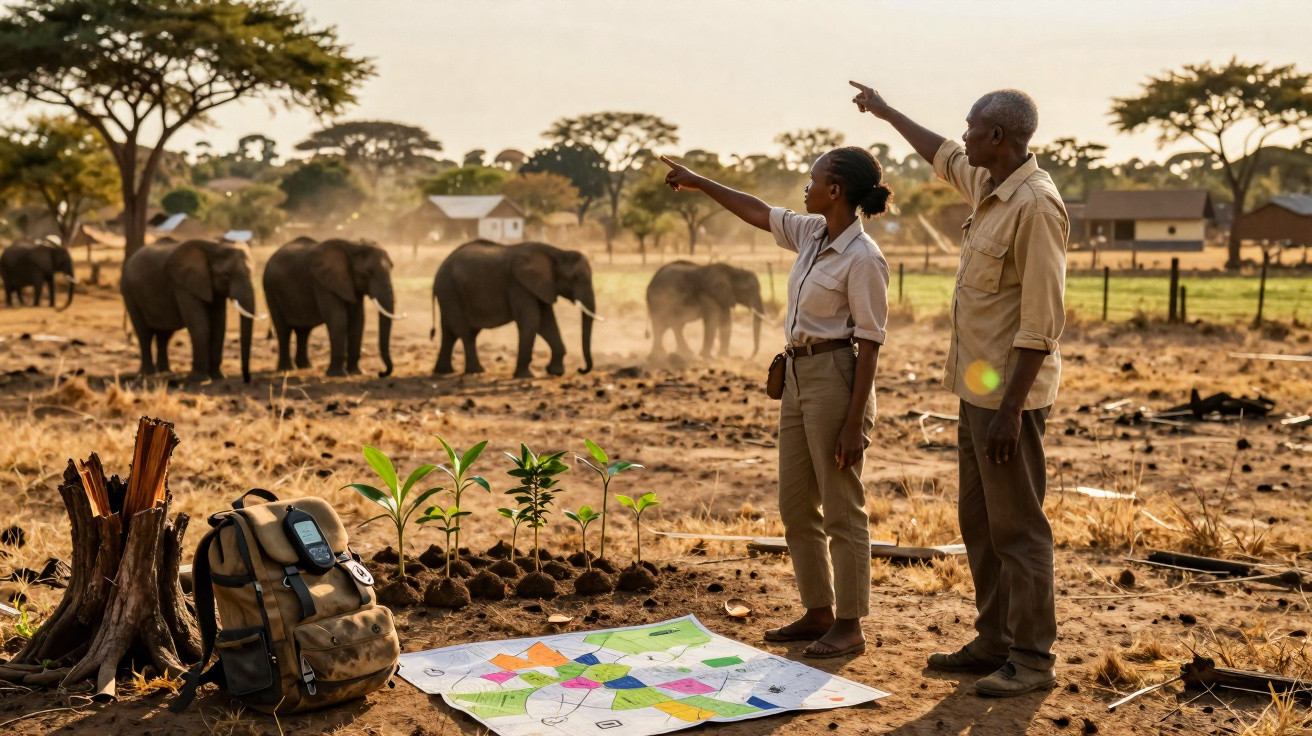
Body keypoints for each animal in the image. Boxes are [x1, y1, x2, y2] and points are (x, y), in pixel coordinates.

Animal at [120, 238, 257, 382]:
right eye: (226, 275)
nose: (247, 378)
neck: (214, 246)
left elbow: (219, 326)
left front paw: (218, 377)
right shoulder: (183, 285)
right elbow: (200, 325)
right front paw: (199, 379)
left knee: (164, 335)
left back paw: (165, 371)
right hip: (128, 291)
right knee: (144, 333)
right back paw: (148, 374)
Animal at [262, 237, 397, 377]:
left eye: (392, 268)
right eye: (367, 273)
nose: (381, 373)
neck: (353, 246)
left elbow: (358, 320)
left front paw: (355, 373)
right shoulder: (322, 283)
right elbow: (338, 319)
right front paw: (338, 375)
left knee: (303, 331)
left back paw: (305, 366)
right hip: (271, 290)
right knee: (283, 329)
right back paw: (286, 369)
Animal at [432, 239, 597, 378]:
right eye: (575, 278)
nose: (581, 370)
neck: (557, 252)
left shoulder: (542, 287)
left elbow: (547, 323)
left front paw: (555, 372)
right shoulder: (519, 286)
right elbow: (531, 322)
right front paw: (525, 376)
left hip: (449, 295)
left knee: (450, 333)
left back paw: (444, 371)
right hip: (450, 292)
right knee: (465, 333)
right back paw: (476, 371)